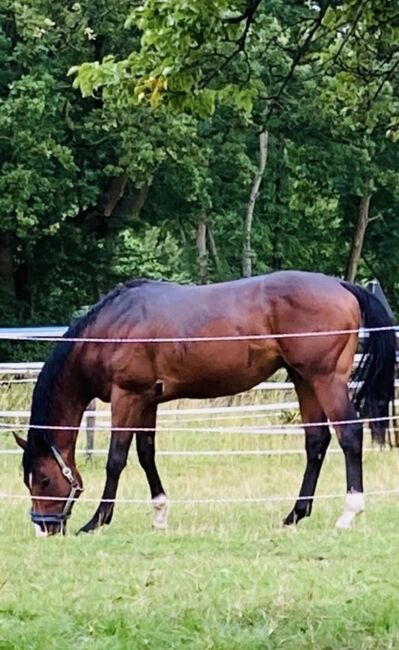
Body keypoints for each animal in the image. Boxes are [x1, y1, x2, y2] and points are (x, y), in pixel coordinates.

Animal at [14, 270, 396, 536]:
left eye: (43, 480)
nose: (44, 527)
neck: (110, 329)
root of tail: (342, 285)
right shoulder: (148, 400)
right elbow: (146, 454)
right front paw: (159, 515)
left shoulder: (127, 396)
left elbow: (116, 459)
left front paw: (96, 521)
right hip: (303, 379)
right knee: (316, 441)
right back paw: (294, 515)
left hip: (326, 379)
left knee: (349, 436)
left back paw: (348, 513)